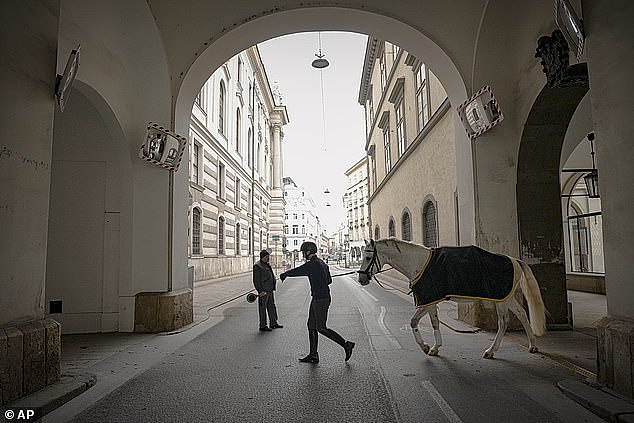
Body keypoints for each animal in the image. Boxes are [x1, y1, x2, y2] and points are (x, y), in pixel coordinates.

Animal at [356, 238, 544, 358]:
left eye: (367, 257)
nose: (361, 279)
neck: (418, 262)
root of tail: (515, 260)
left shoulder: (428, 300)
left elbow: (414, 322)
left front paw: (426, 347)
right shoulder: (430, 301)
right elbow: (433, 323)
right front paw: (434, 348)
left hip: (501, 299)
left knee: (504, 322)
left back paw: (491, 350)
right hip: (506, 297)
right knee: (521, 313)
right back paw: (532, 345)